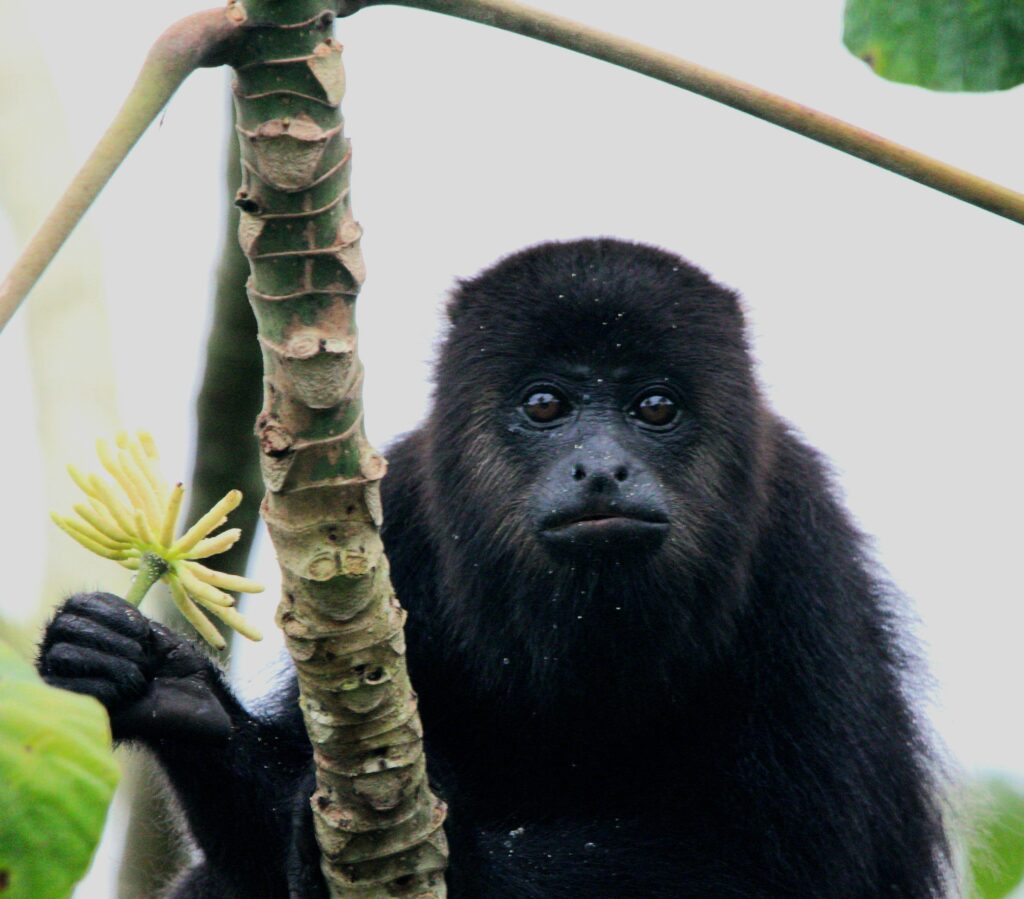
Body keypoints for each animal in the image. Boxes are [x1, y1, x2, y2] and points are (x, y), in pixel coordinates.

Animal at [39, 237, 949, 897]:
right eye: (545, 404)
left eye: (655, 407)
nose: (602, 467)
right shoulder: (402, 522)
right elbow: (262, 847)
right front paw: (173, 689)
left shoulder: (803, 557)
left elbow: (798, 864)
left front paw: (464, 849)